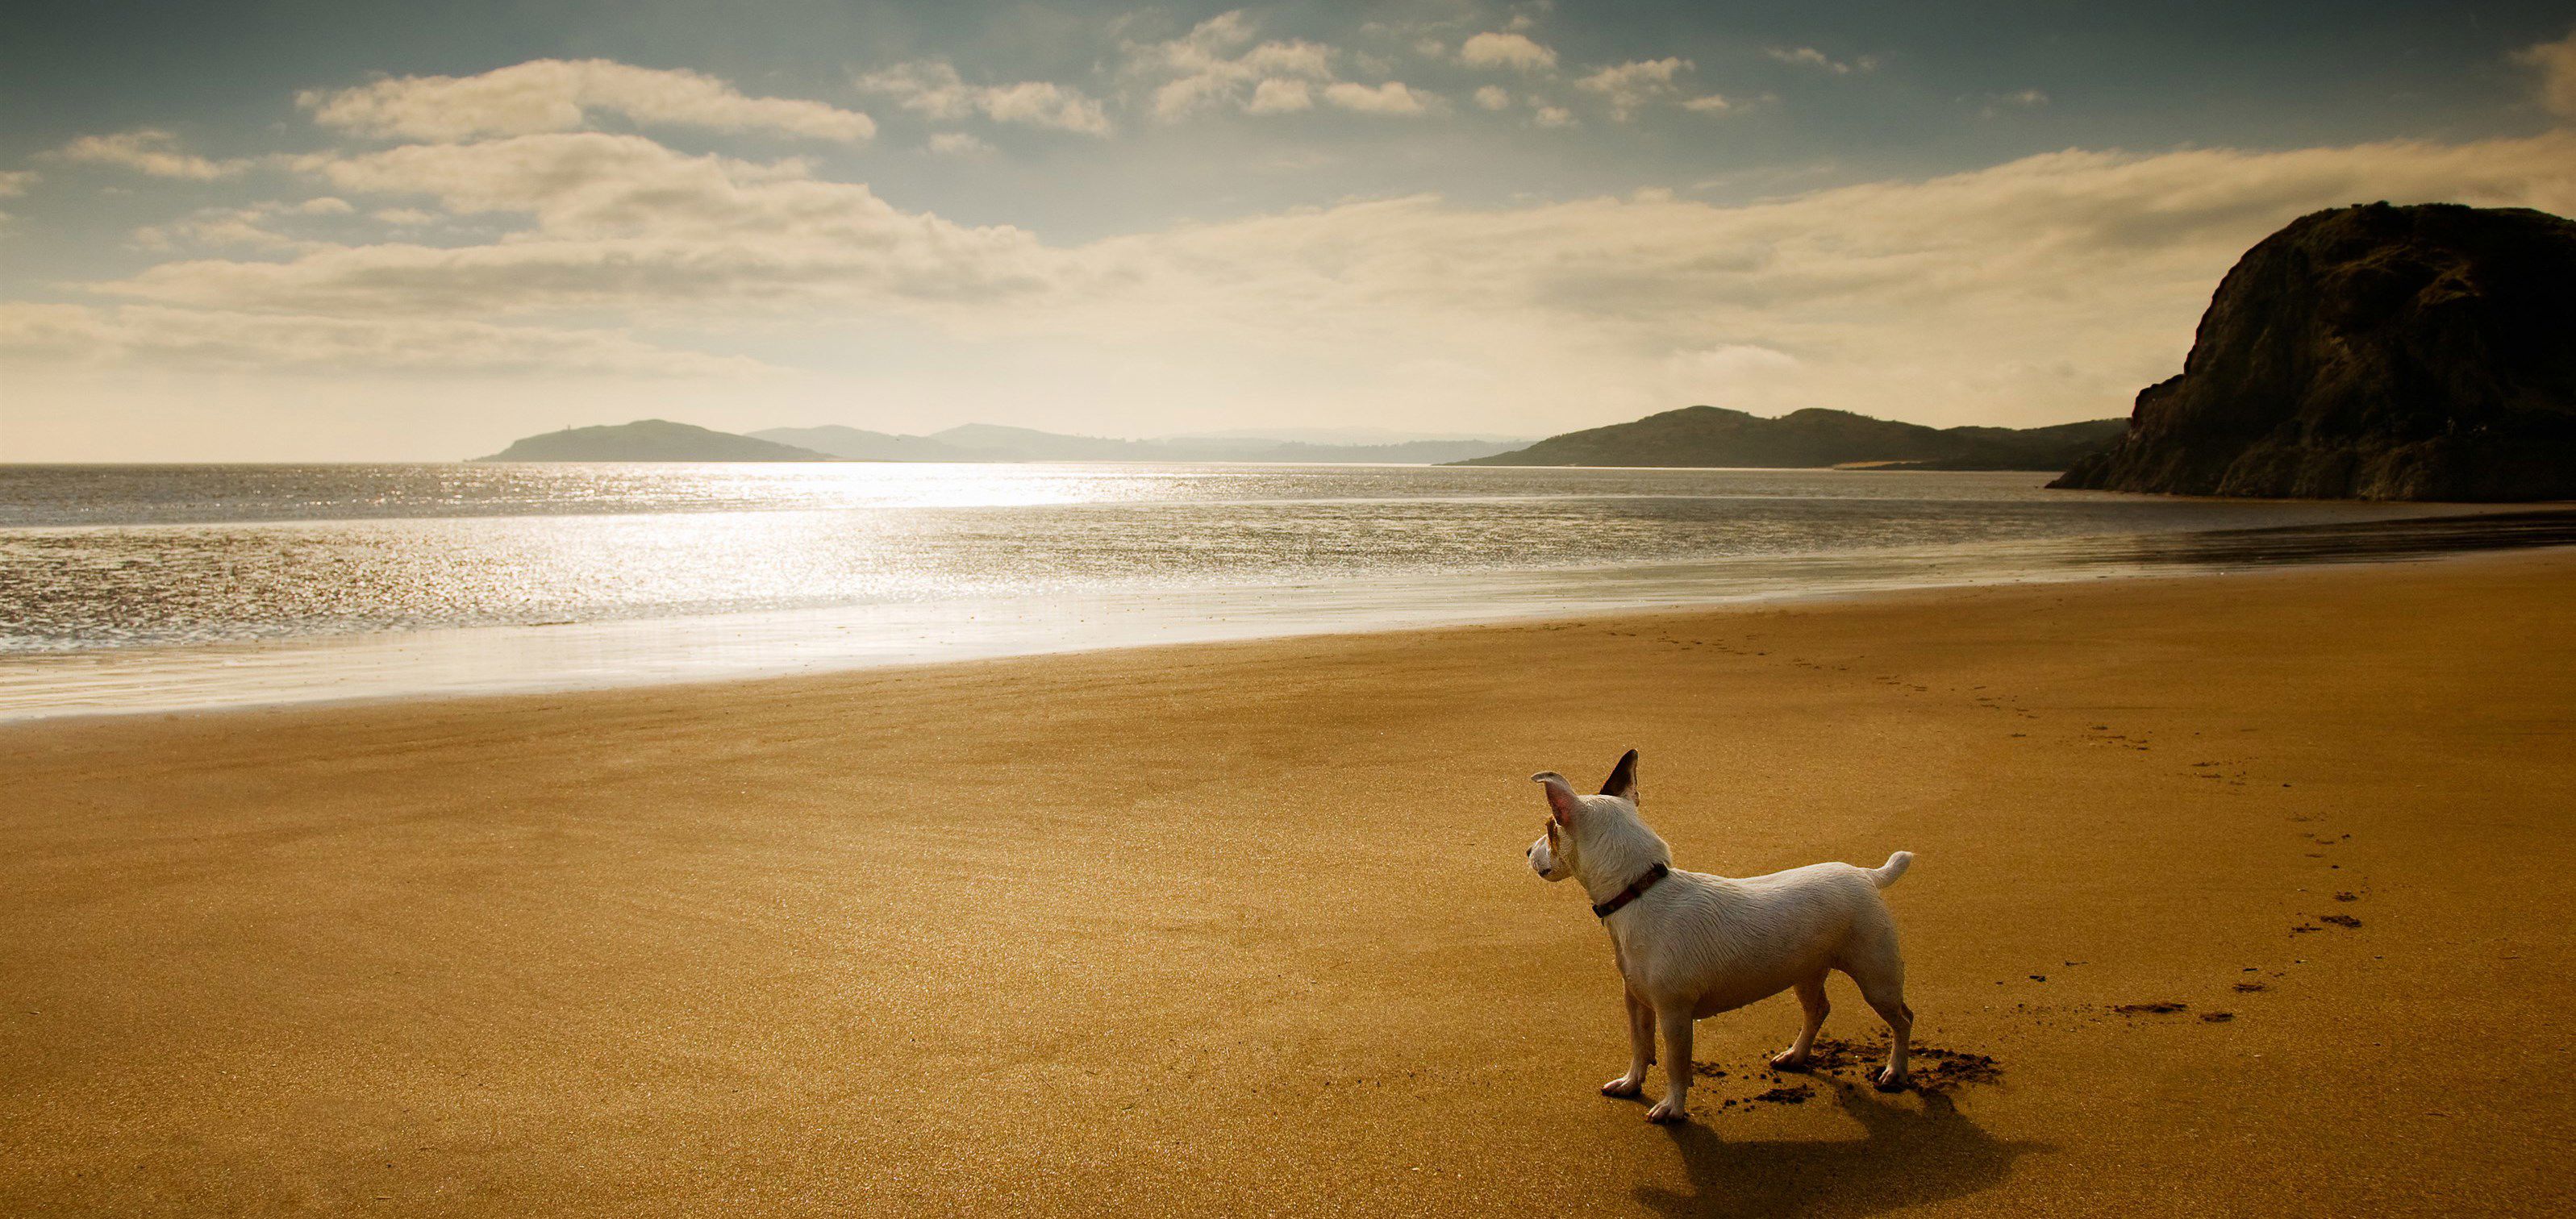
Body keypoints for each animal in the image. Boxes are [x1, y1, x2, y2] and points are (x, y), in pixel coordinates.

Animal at [1524, 752, 1916, 1123]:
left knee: (1903, 1019)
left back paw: (1895, 1071)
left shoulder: (1675, 1014)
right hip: (1806, 971)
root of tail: (1866, 875)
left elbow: (1675, 1064)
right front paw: (1631, 1084)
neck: (1639, 891)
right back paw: (1796, 1055)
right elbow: (1640, 1046)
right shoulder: (1636, 1001)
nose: (1527, 851)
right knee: (1818, 1009)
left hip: (1876, 978)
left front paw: (1672, 1108)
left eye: (1551, 828)